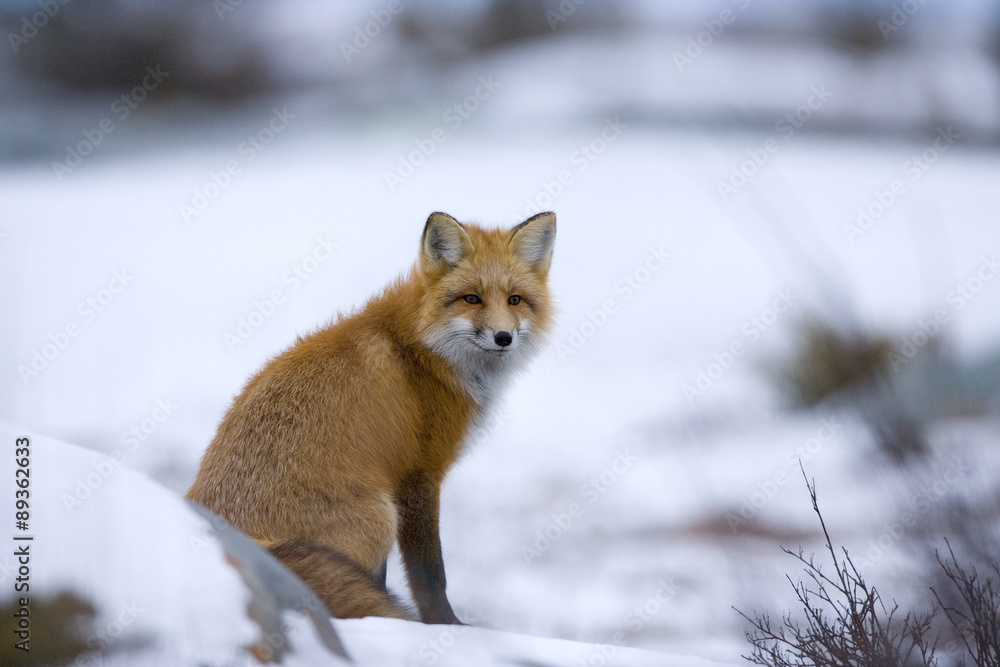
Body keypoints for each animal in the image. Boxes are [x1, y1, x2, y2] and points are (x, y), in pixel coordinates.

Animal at [186, 213, 556, 628]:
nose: (503, 337)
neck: (423, 350)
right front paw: (446, 626)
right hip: (379, 516)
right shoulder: (418, 477)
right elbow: (431, 575)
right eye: (471, 298)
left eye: (514, 300)